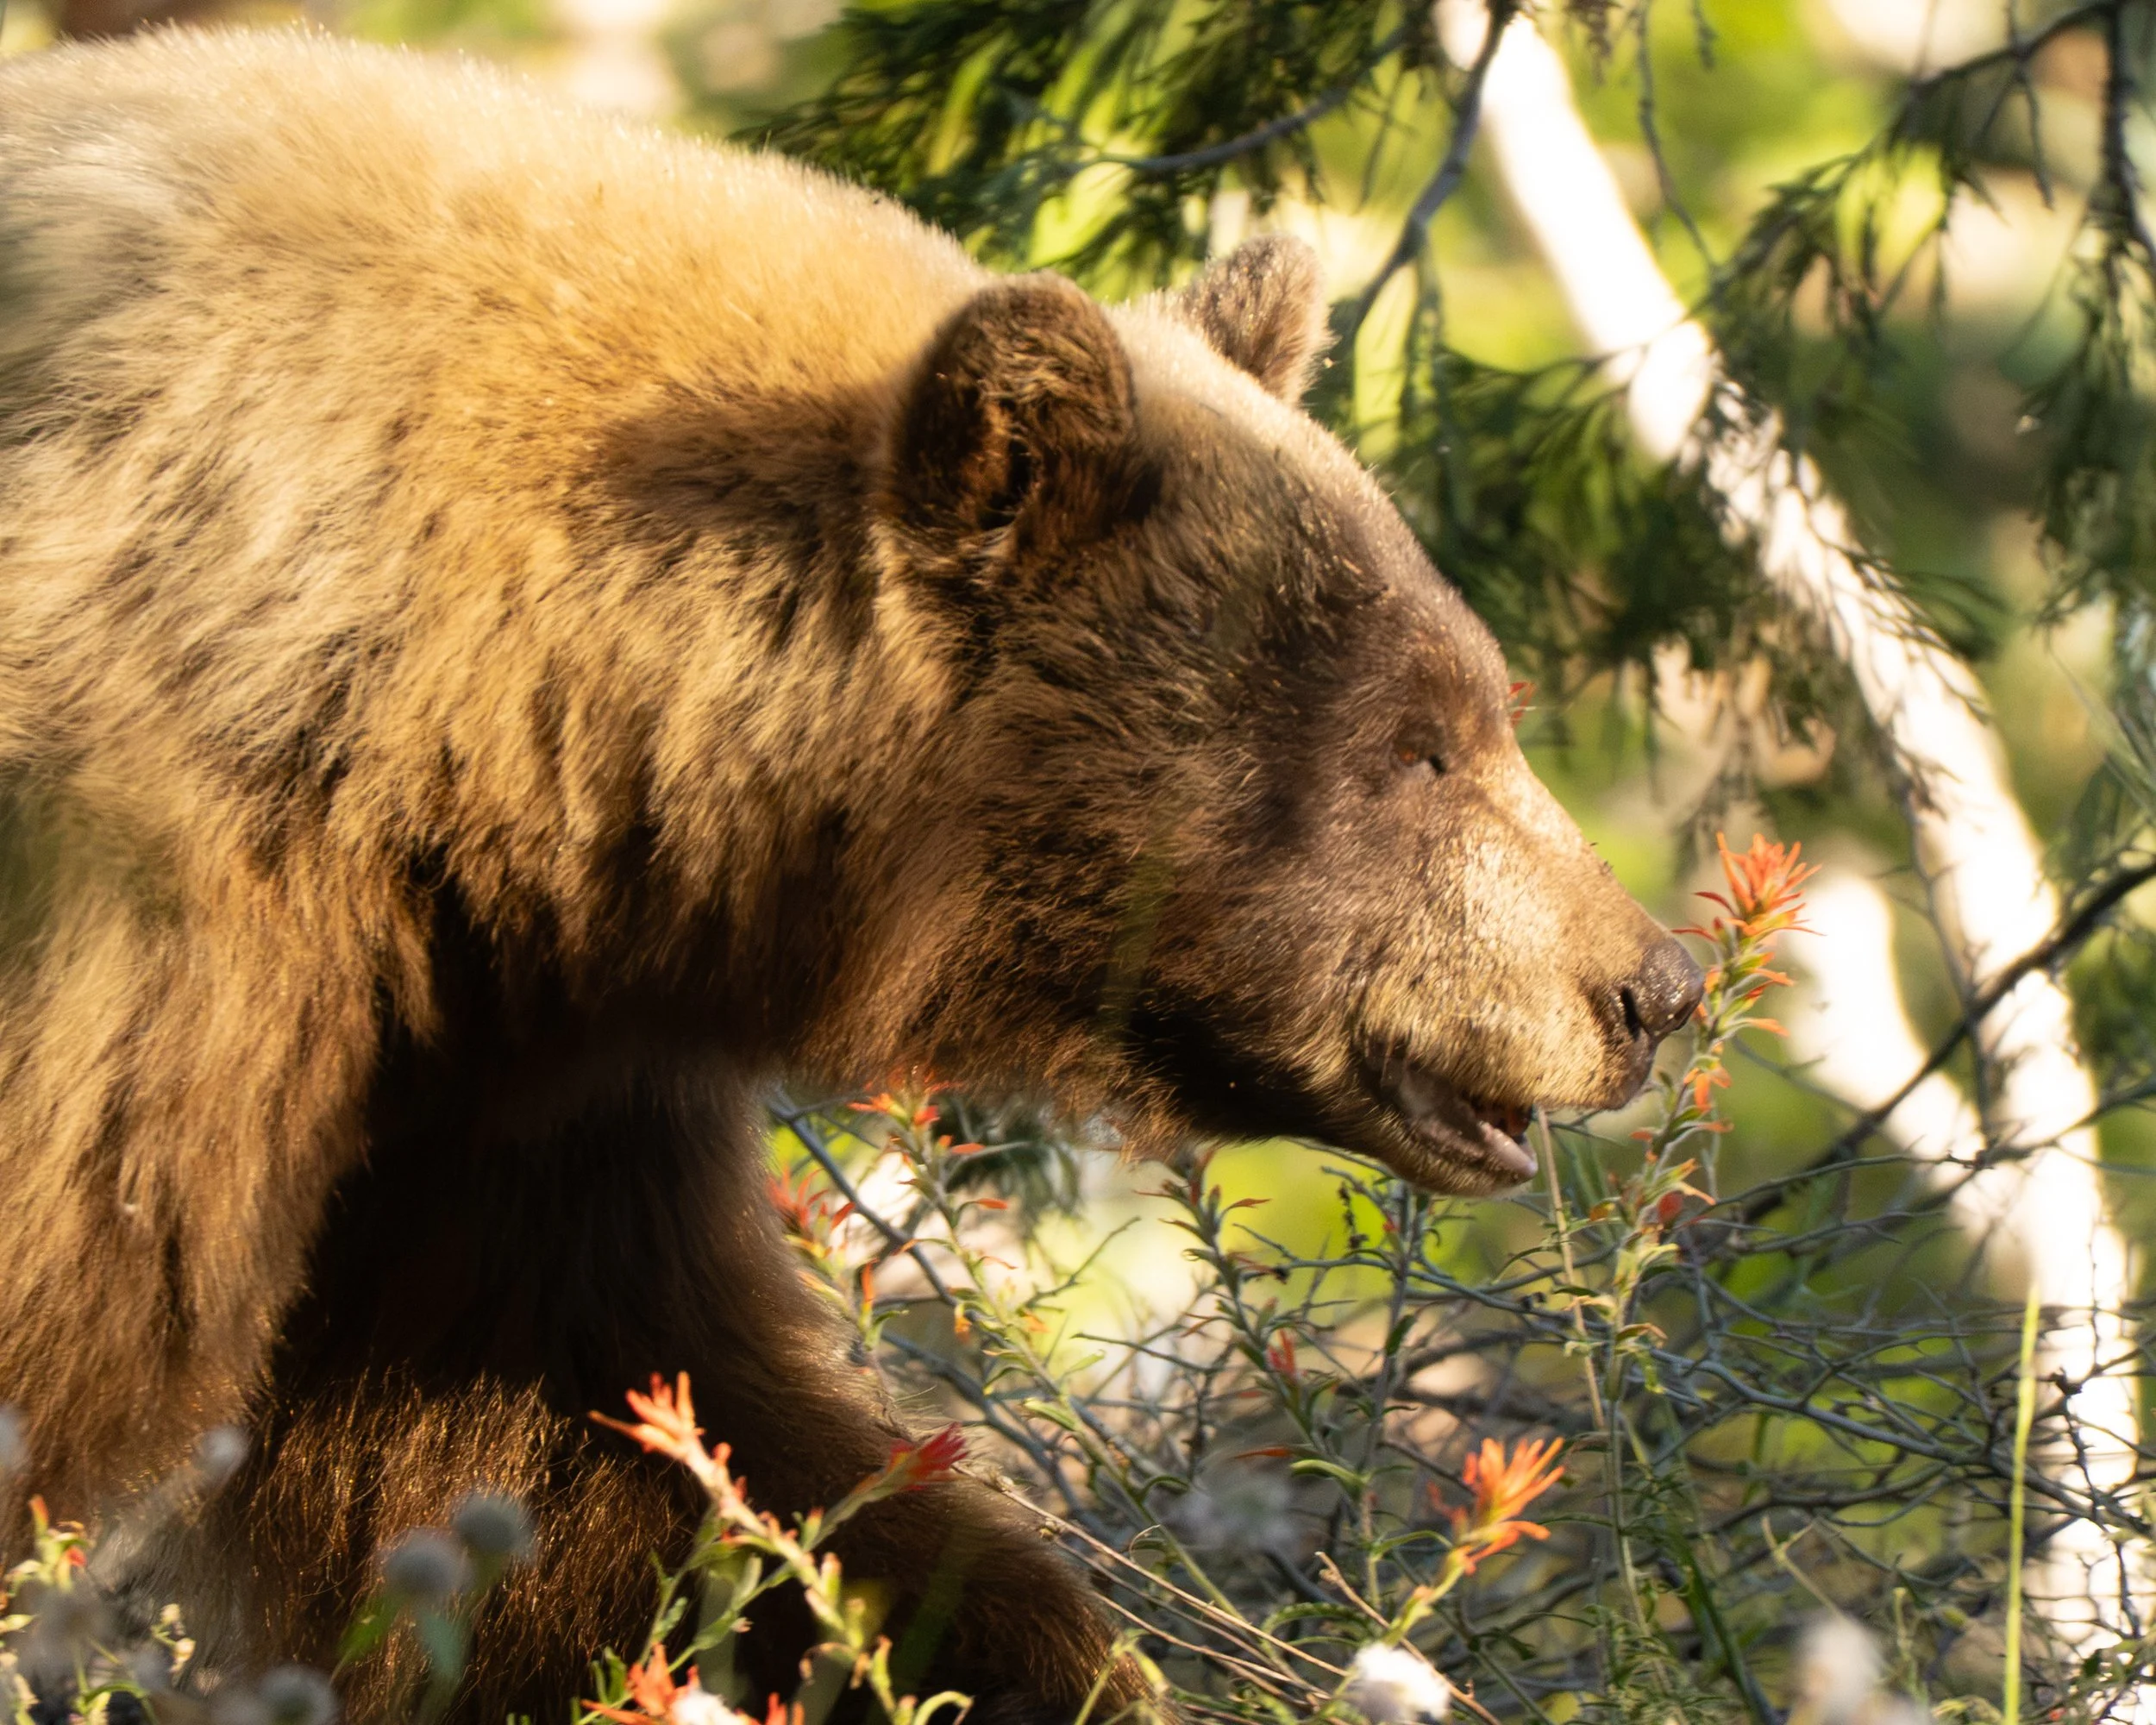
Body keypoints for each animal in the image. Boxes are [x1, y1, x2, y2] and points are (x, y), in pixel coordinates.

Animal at [0, 28, 1702, 1725]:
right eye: (1417, 744)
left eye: (1483, 700)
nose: (1652, 984)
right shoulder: (154, 912)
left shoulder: (498, 1073)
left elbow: (609, 1438)